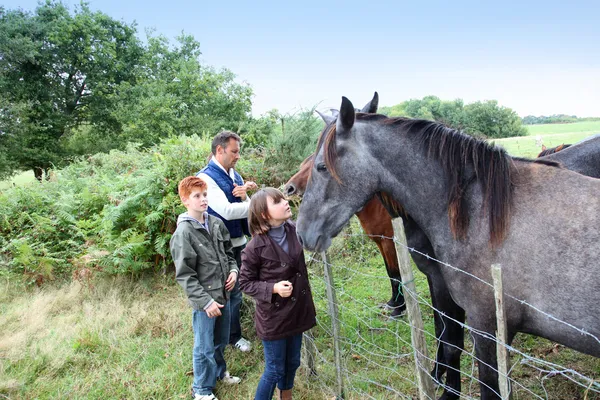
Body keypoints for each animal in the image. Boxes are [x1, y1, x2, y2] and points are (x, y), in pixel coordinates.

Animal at [296, 96, 600, 396]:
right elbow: (445, 335)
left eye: (321, 166)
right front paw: (438, 377)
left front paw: (444, 384)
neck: (478, 213)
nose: (302, 232)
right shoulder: (438, 282)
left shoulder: (486, 327)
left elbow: (458, 348)